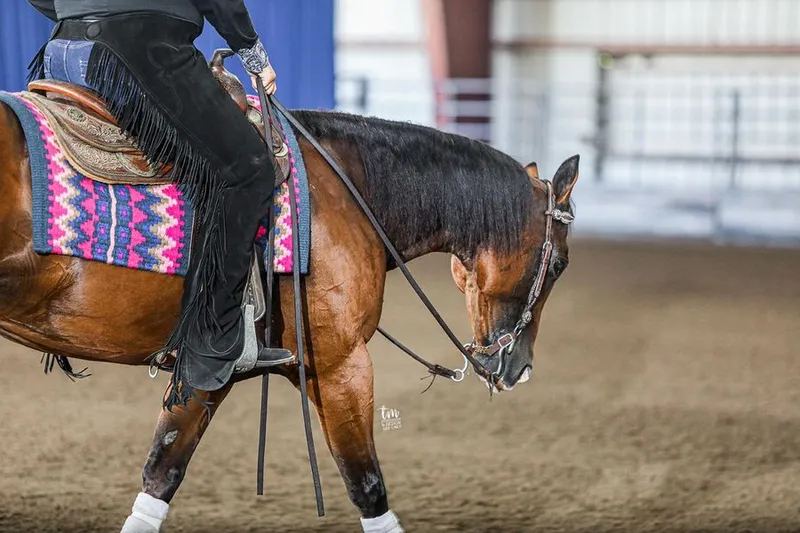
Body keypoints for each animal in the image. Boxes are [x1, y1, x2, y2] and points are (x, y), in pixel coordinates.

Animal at [0, 93, 579, 532]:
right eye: (559, 265)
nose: (518, 367)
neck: (346, 193)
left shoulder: (209, 370)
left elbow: (161, 473)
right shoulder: (341, 366)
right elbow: (368, 486)